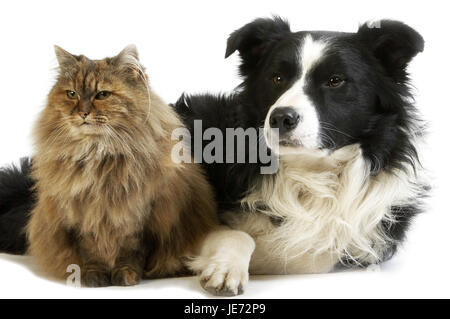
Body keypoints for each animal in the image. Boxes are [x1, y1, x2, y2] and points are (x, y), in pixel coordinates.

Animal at [25, 45, 219, 288]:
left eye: (102, 95)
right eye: (72, 94)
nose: (82, 113)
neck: (98, 155)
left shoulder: (141, 218)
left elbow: (131, 253)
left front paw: (126, 275)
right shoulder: (81, 218)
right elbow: (92, 254)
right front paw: (94, 277)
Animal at [174, 17, 428, 296]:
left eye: (335, 80)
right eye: (277, 78)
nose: (281, 118)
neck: (310, 173)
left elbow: (309, 253)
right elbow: (240, 234)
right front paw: (226, 268)